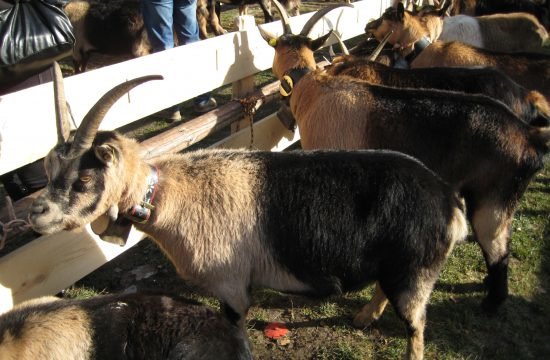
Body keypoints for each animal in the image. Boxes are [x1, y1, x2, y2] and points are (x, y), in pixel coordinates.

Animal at [27, 62, 470, 360]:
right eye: (48, 170)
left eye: (85, 179)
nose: (36, 215)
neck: (172, 196)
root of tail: (448, 199)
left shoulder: (231, 286)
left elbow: (237, 334)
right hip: (399, 268)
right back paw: (364, 317)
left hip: (415, 273)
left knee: (416, 326)